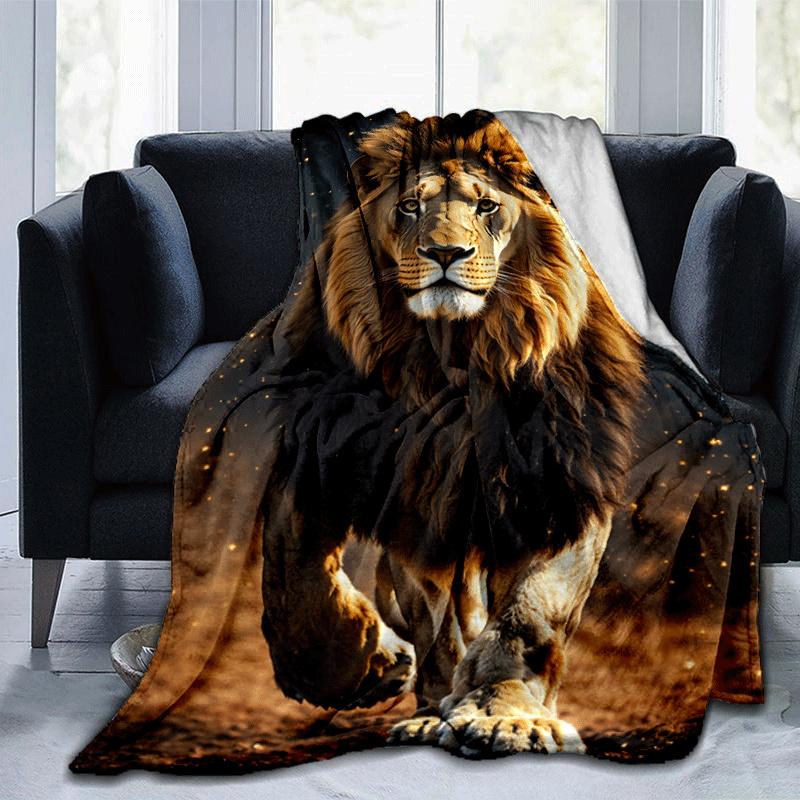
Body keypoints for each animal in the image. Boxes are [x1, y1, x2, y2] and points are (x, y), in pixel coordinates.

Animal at [261, 111, 645, 757]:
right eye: (410, 206)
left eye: (487, 206)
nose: (445, 252)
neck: (456, 357)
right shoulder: (379, 472)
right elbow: (298, 573)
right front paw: (370, 667)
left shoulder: (562, 481)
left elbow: (529, 613)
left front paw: (507, 713)